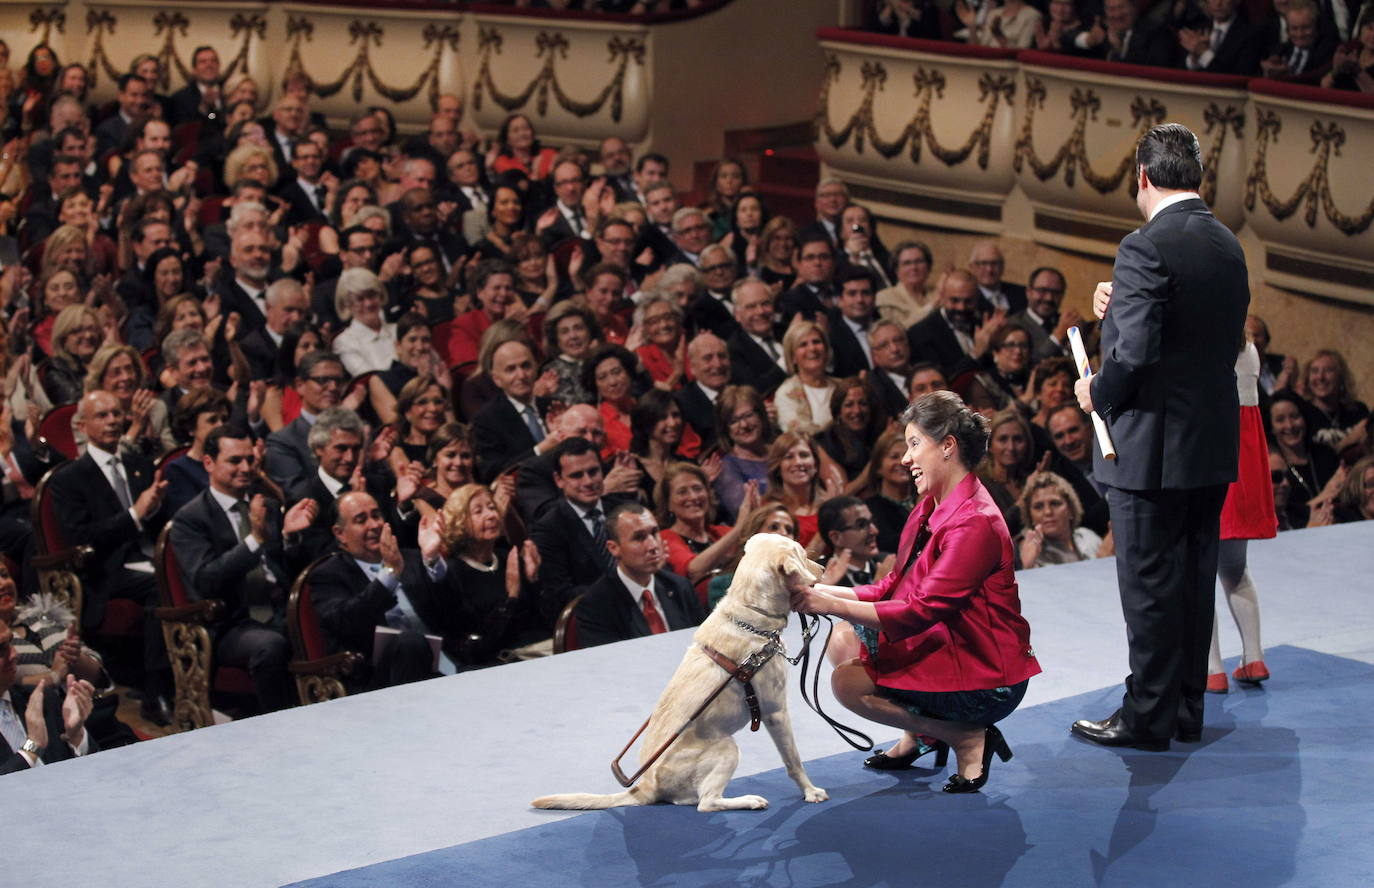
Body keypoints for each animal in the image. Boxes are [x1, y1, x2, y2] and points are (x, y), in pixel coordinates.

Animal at [530, 536, 824, 813]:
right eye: (801, 553)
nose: (822, 568)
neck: (747, 615)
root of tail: (644, 787)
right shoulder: (776, 712)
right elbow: (793, 761)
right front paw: (810, 791)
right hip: (727, 746)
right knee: (707, 803)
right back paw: (749, 801)